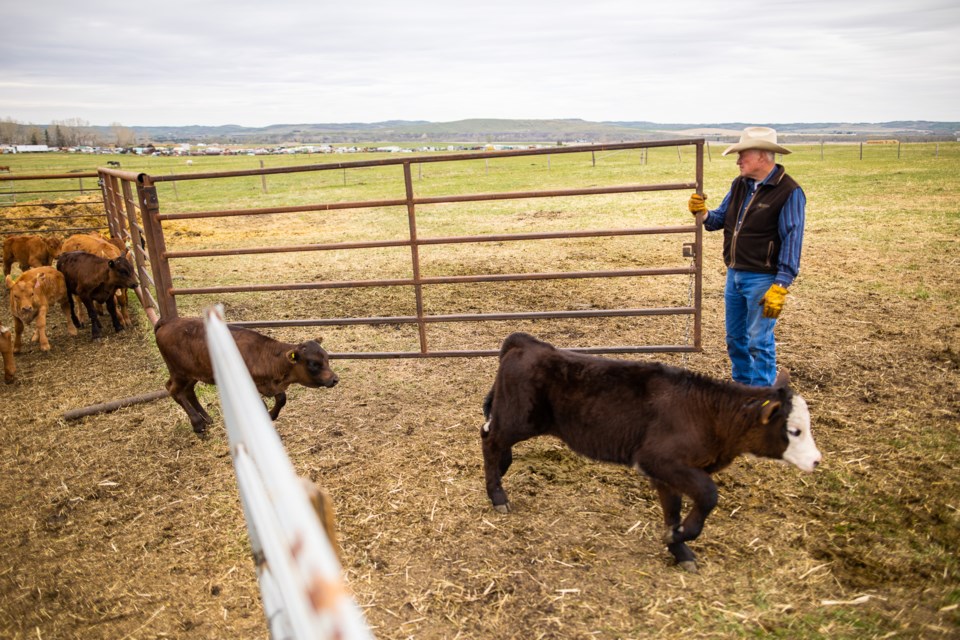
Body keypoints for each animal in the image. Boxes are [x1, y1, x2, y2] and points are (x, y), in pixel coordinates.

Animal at [156, 318, 340, 438]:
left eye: (326, 358)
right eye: (313, 364)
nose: (334, 379)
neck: (265, 356)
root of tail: (168, 322)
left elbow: (281, 398)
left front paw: (271, 415)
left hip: (193, 373)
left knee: (188, 391)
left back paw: (206, 419)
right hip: (179, 372)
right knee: (173, 390)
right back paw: (198, 425)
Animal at [478, 332, 816, 572]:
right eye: (794, 430)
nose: (816, 460)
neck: (708, 413)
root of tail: (528, 343)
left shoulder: (667, 474)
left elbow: (672, 511)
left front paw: (679, 550)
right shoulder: (659, 461)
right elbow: (708, 495)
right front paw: (679, 537)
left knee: (491, 436)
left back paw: (503, 471)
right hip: (520, 419)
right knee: (490, 441)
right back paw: (498, 495)